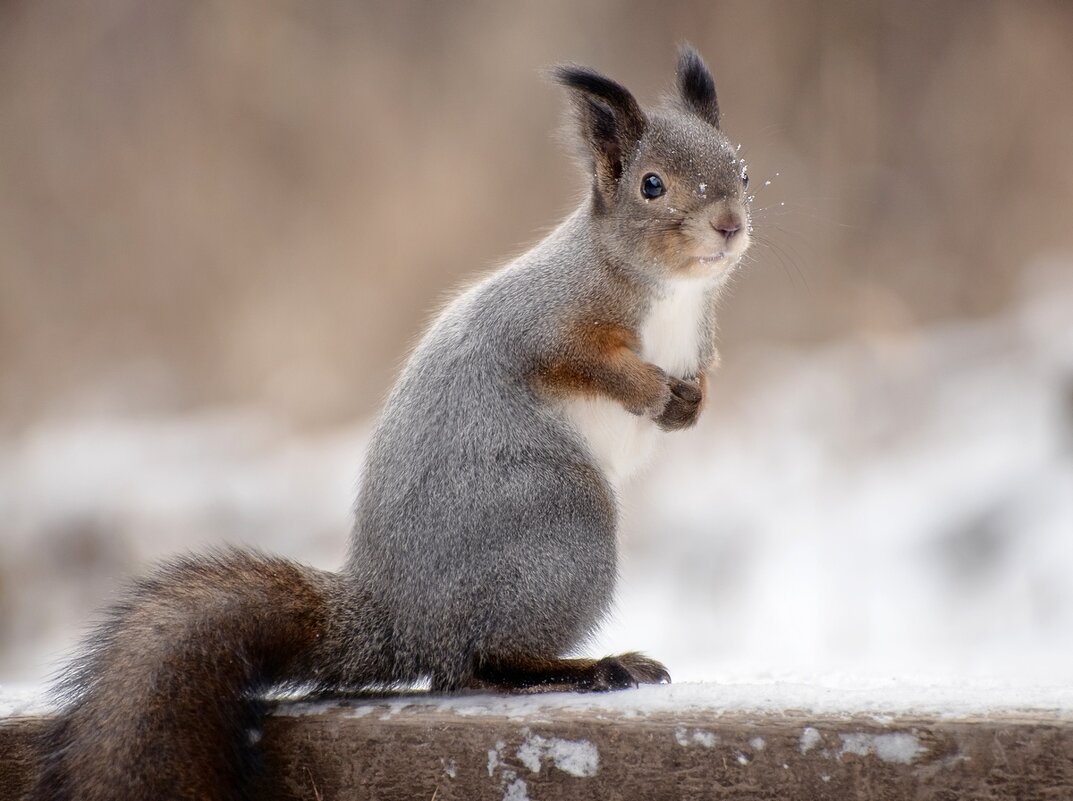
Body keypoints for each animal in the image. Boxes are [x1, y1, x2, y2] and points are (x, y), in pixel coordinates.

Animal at [33, 45, 755, 801]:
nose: (730, 225)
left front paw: (688, 405)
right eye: (652, 185)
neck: (672, 291)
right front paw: (649, 390)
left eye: (740, 171)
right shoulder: (543, 322)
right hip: (562, 531)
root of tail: (397, 619)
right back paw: (587, 668)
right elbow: (578, 361)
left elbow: (697, 382)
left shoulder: (696, 343)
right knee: (475, 663)